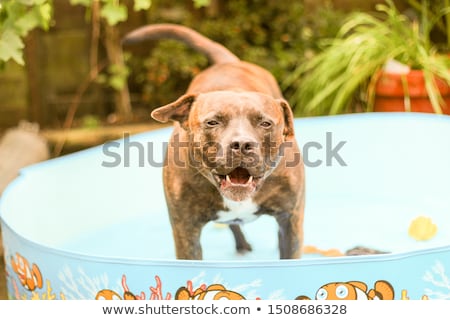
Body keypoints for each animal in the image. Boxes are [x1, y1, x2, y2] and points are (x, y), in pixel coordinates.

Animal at [124, 24, 306, 260]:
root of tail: (227, 62)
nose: (241, 145)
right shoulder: (185, 230)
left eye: (265, 123)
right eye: (212, 122)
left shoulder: (291, 220)